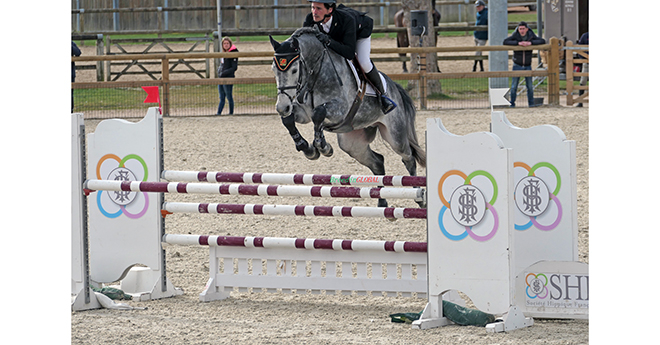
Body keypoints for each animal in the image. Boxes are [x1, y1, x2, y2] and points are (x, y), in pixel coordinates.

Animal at [270, 26, 426, 207]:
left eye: (294, 70)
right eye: (273, 69)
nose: (282, 107)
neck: (317, 73)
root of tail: (395, 88)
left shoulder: (340, 110)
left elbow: (319, 114)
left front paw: (323, 147)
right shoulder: (302, 112)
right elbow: (289, 120)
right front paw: (307, 148)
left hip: (395, 136)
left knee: (408, 158)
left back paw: (419, 198)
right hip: (352, 144)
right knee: (377, 162)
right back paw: (382, 202)